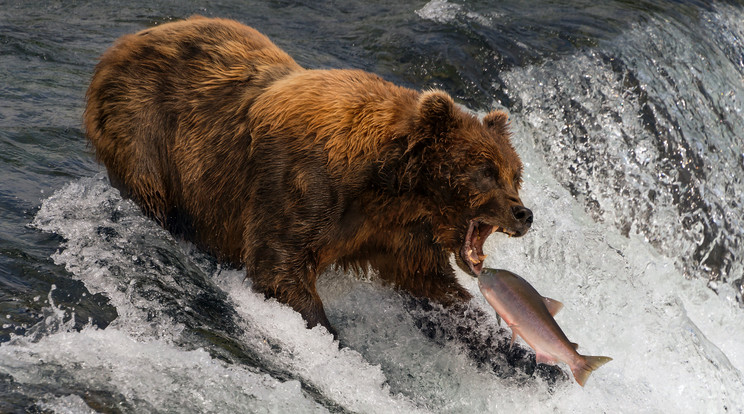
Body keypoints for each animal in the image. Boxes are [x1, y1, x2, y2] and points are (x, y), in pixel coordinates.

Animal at [84, 16, 532, 334]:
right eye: (485, 171)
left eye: (515, 174)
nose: (524, 214)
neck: (390, 184)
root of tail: (122, 43)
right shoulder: (303, 184)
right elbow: (279, 265)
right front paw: (328, 333)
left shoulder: (394, 232)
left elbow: (434, 285)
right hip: (145, 127)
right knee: (151, 192)